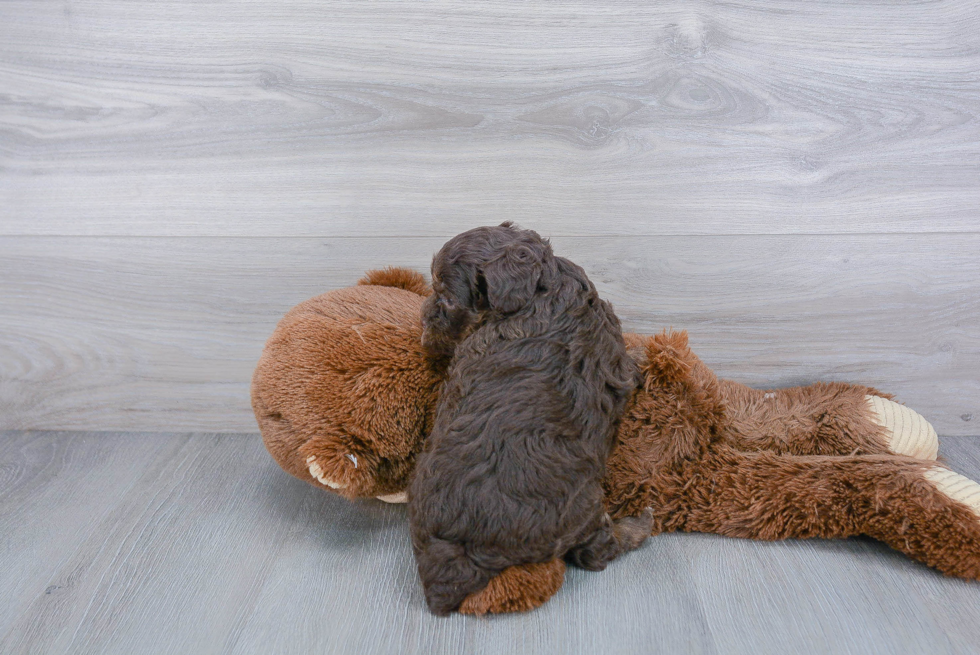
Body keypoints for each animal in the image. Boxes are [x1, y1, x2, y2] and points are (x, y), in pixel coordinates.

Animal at [406, 224, 652, 616]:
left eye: (446, 299)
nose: (424, 318)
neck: (540, 292)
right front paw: (643, 353)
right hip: (584, 505)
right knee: (595, 552)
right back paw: (639, 524)